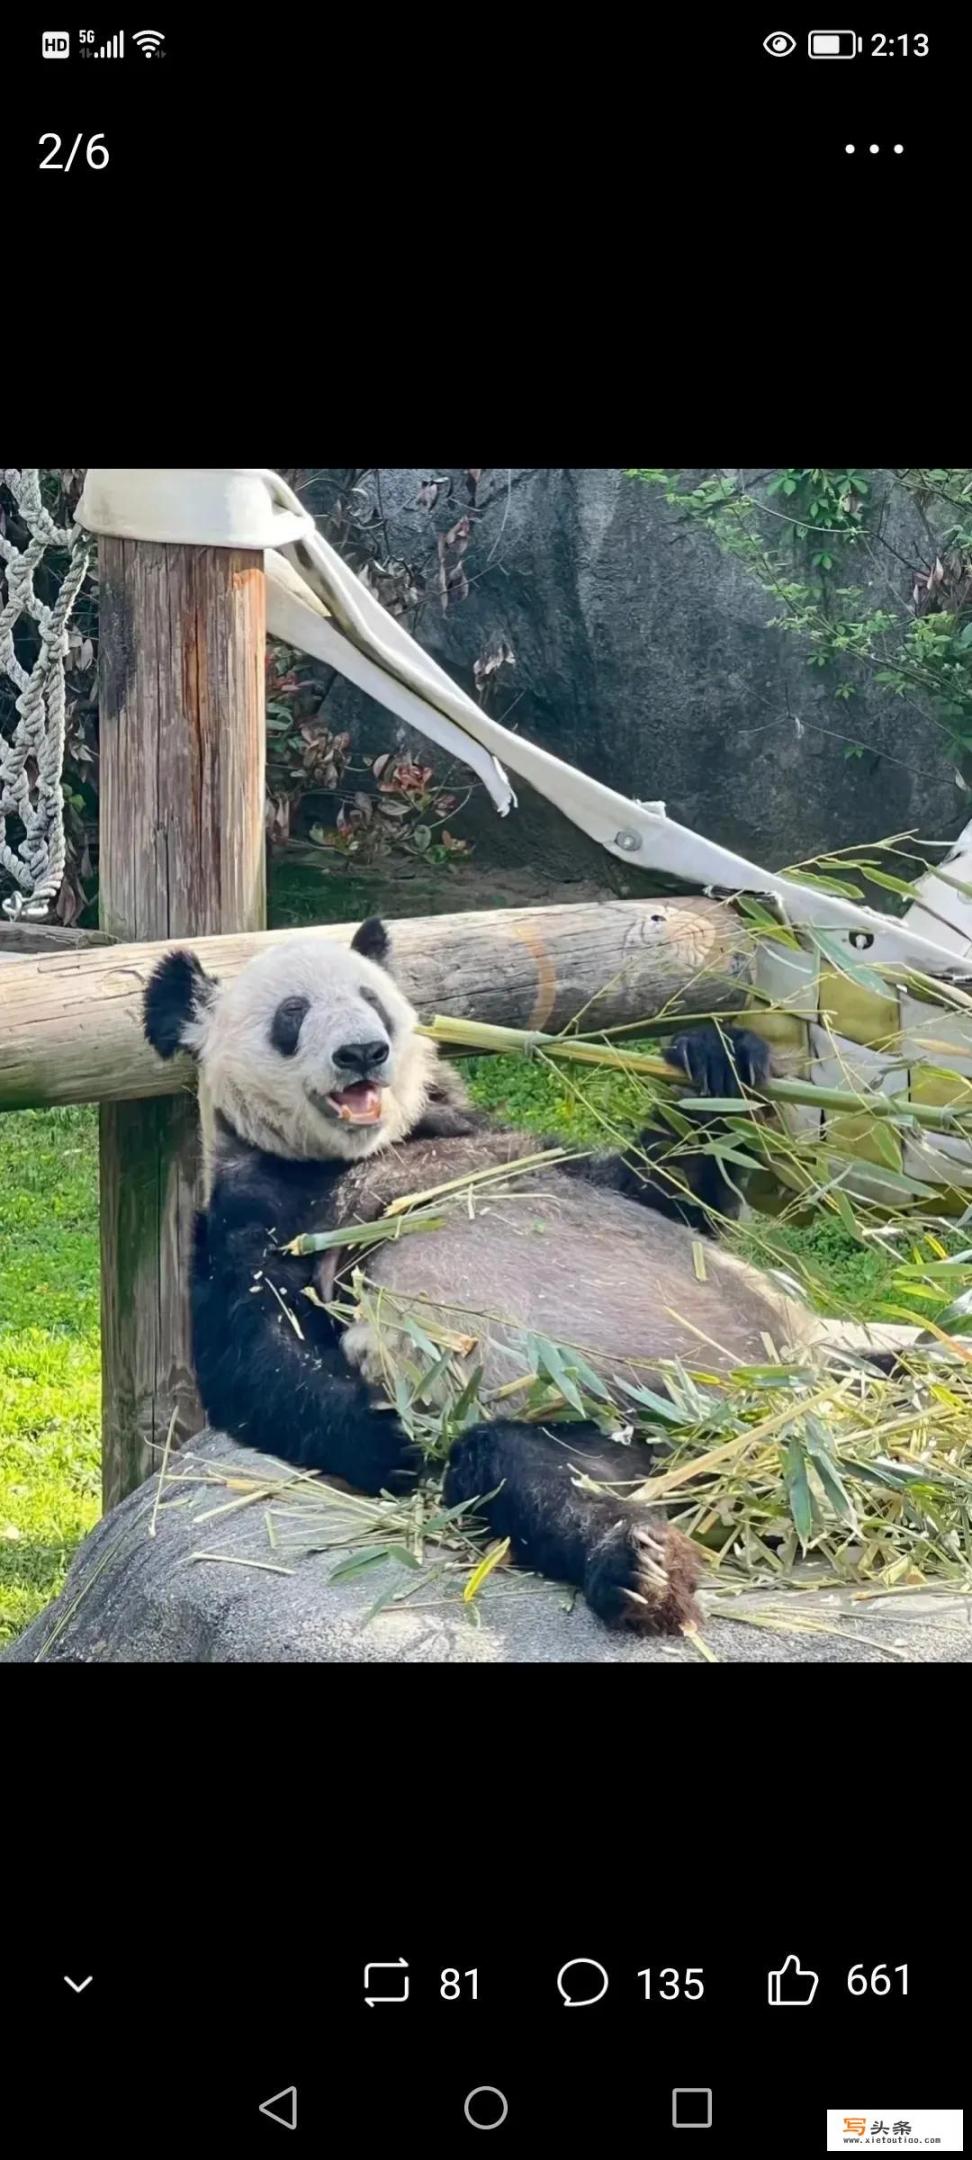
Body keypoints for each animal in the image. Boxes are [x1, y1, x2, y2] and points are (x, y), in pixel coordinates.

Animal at [145, 911, 889, 1632]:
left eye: (372, 1001)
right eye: (292, 1013)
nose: (363, 1052)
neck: (365, 1151)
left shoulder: (510, 1144)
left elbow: (666, 1194)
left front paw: (718, 1063)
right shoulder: (261, 1210)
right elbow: (258, 1354)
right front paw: (388, 1436)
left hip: (825, 1359)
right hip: (598, 1427)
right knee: (522, 1471)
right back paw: (640, 1567)